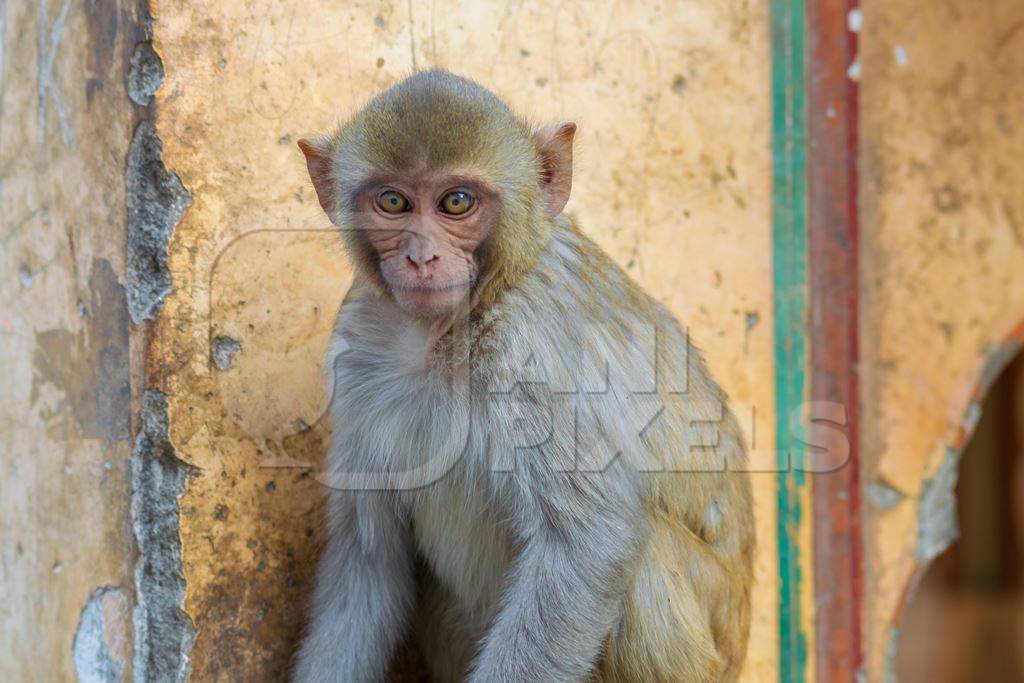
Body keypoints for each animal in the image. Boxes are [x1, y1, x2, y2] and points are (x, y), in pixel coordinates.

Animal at [294, 70, 753, 683]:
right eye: (392, 202)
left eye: (456, 202)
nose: (421, 257)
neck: (449, 330)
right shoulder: (356, 347)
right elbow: (368, 561)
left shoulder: (532, 354)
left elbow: (588, 544)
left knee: (647, 559)